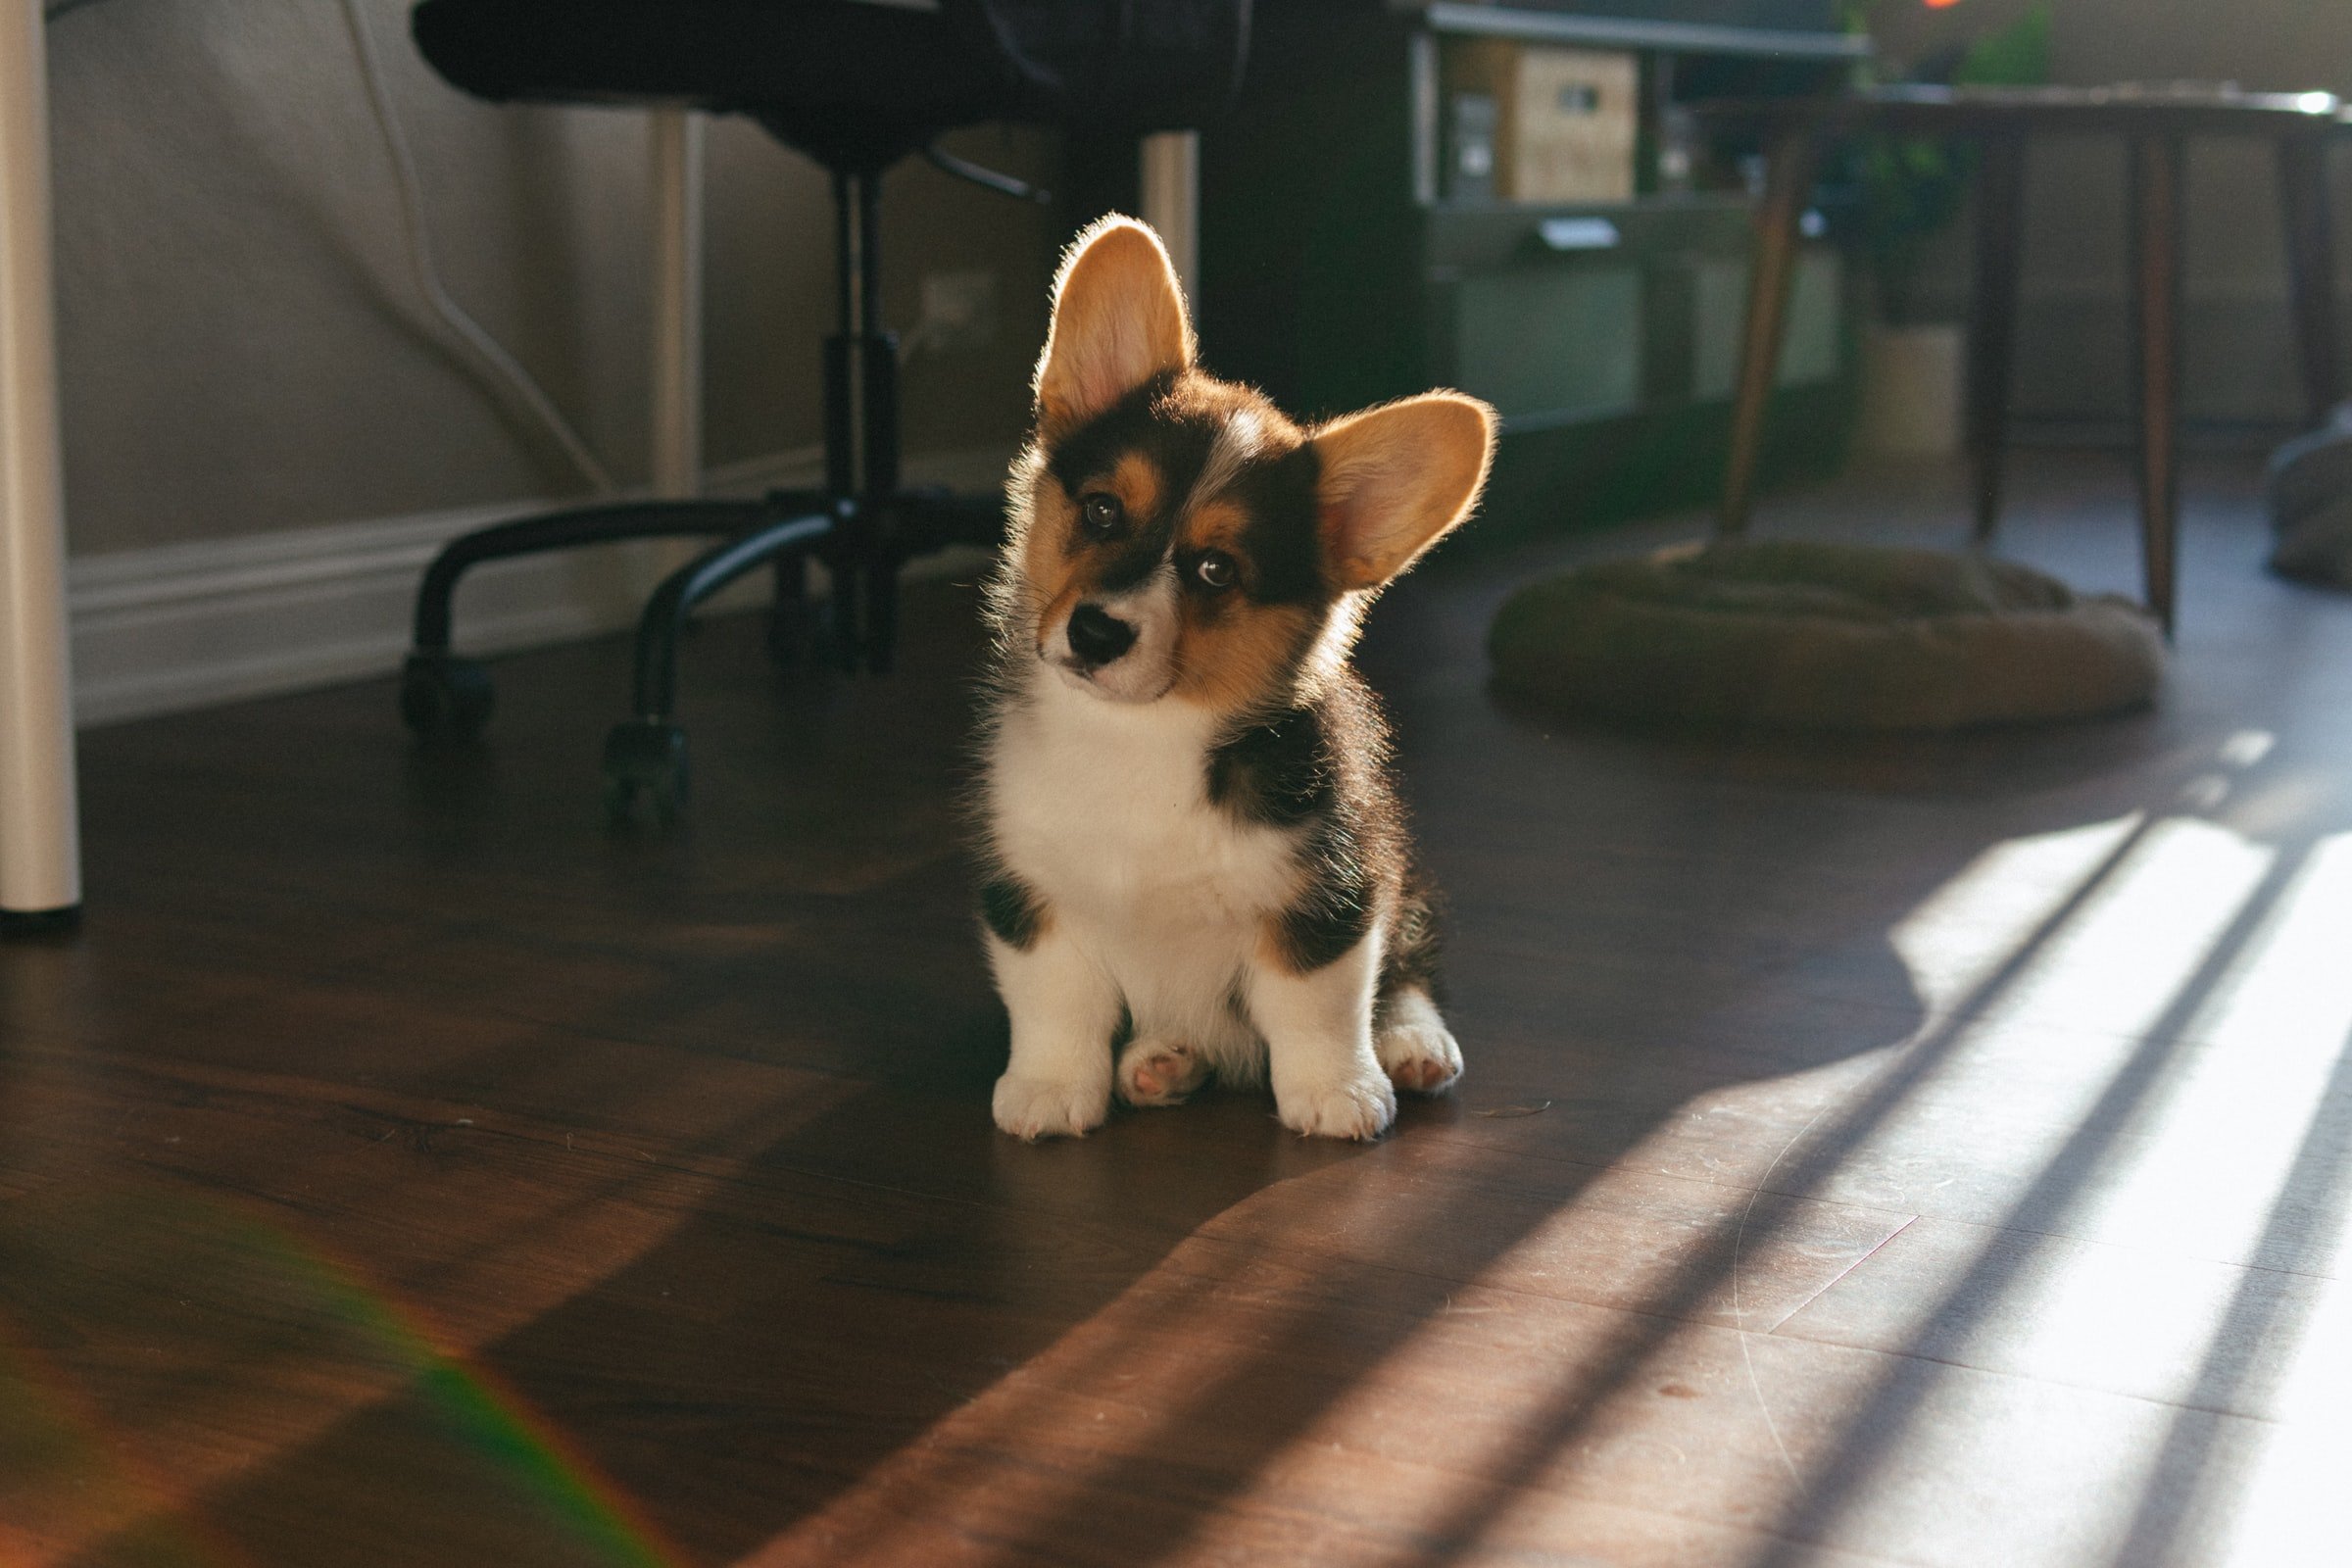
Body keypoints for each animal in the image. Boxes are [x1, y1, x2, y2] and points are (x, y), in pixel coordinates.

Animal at [978, 217, 1495, 1142]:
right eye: (1102, 510)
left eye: (1216, 570)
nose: (1096, 631)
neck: (1139, 736)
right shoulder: (1032, 892)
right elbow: (1056, 1003)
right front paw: (1047, 1089)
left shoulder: (1329, 891)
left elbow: (1316, 1006)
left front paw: (1339, 1093)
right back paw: (1160, 1061)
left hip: (1405, 878)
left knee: (1409, 970)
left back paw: (1412, 1045)